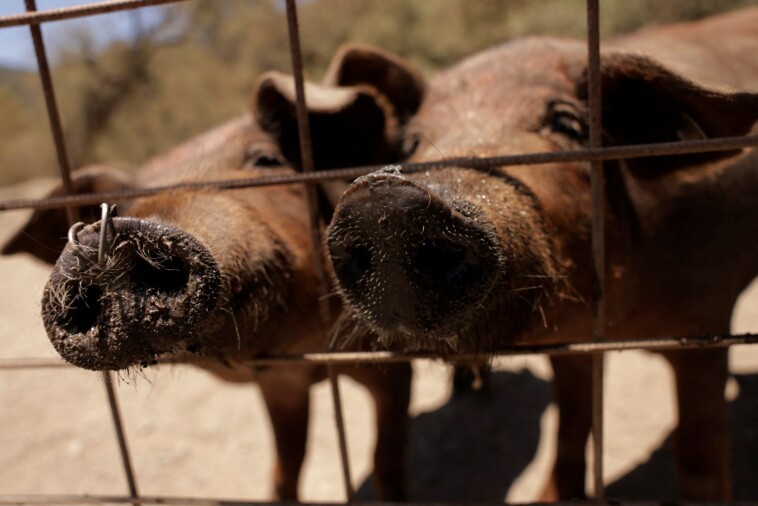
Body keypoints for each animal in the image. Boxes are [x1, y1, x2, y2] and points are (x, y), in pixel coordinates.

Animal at [1, 57, 428, 500]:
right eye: (128, 203)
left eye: (266, 160)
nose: (99, 241)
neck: (309, 357)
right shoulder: (280, 383)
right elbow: (285, 466)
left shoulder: (390, 359)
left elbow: (386, 456)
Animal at [326, 7, 758, 502]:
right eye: (412, 143)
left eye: (568, 124)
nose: (384, 202)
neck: (618, 327)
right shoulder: (567, 344)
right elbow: (571, 421)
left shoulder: (708, 315)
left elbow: (697, 450)